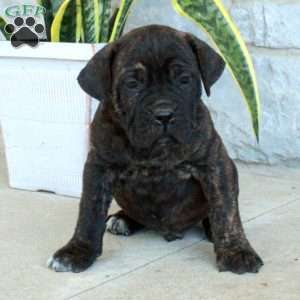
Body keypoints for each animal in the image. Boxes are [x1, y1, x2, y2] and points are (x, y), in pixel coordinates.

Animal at [46, 25, 262, 274]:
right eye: (132, 85)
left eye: (184, 80)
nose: (164, 114)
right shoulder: (99, 167)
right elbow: (89, 211)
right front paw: (76, 251)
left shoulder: (215, 164)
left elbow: (226, 209)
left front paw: (236, 251)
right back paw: (122, 219)